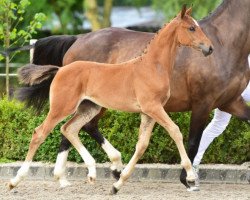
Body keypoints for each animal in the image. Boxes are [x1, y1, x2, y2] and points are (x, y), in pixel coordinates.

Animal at [18, 0, 250, 189]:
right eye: (192, 28)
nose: (208, 48)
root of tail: (77, 39)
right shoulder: (201, 103)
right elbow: (189, 139)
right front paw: (188, 178)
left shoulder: (230, 101)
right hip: (79, 103)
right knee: (66, 129)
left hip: (89, 104)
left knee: (74, 128)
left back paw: (91, 172)